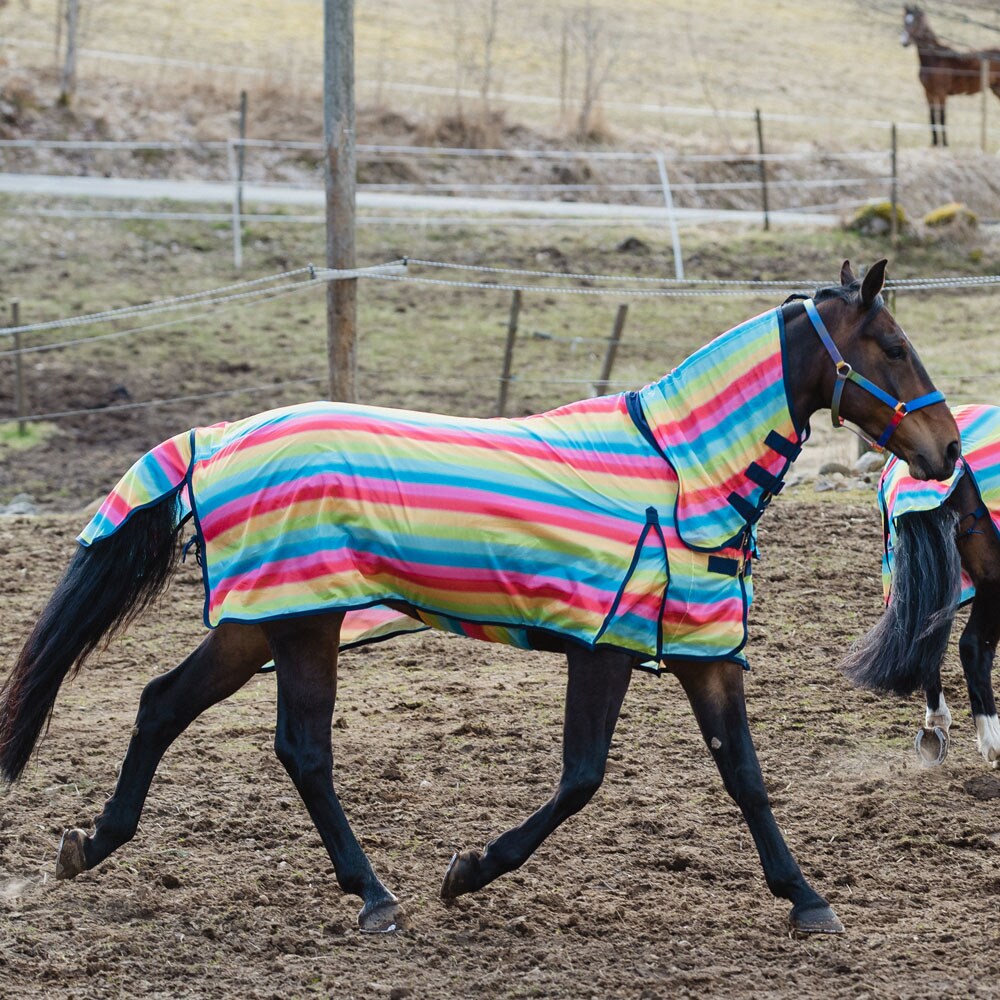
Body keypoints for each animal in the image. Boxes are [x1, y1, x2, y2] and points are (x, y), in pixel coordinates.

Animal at [904, 4, 1000, 145]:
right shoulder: (928, 93)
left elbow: (942, 116)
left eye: (917, 22)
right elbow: (932, 115)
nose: (904, 42)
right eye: (904, 20)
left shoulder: (942, 93)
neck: (935, 59)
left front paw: (944, 144)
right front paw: (934, 143)